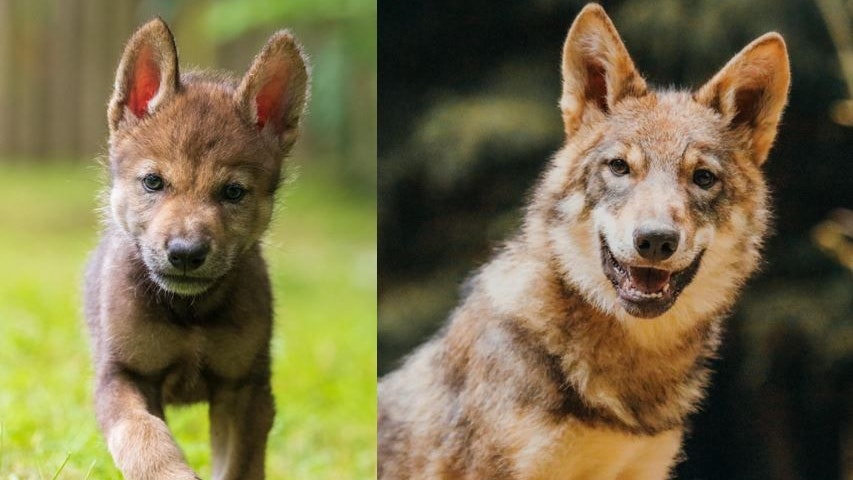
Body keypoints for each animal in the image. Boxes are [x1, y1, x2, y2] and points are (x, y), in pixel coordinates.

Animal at [84, 18, 308, 480]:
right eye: (153, 182)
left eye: (233, 192)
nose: (186, 253)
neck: (190, 314)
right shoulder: (122, 375)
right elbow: (143, 435)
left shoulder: (245, 388)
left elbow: (239, 465)